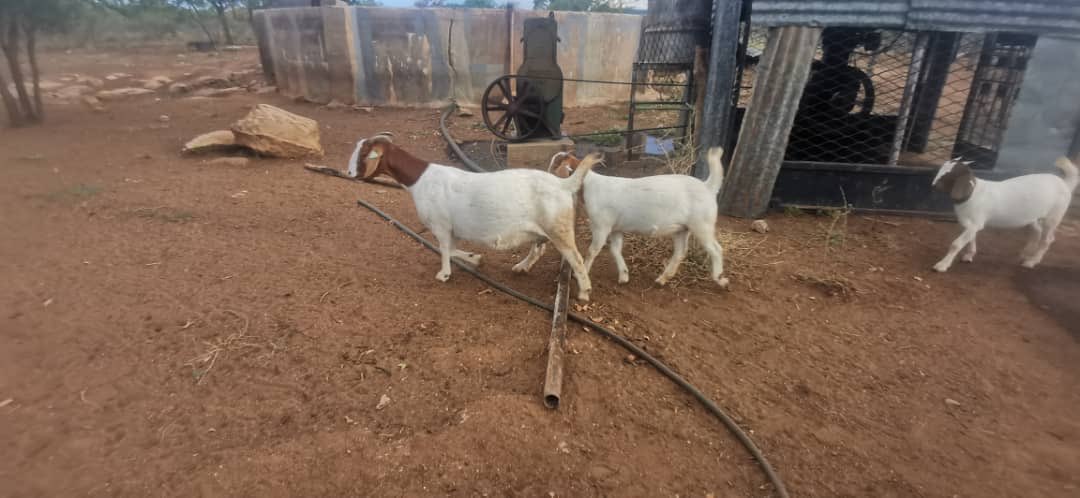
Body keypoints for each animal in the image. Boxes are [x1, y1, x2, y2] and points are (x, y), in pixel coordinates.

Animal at [346, 134, 601, 301]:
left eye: (363, 154)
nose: (349, 173)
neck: (420, 179)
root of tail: (564, 183)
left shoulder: (441, 226)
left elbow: (444, 250)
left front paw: (444, 274)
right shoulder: (452, 229)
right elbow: (452, 249)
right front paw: (475, 258)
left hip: (559, 228)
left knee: (576, 258)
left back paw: (584, 292)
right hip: (544, 228)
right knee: (539, 248)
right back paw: (522, 267)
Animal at [548, 147, 729, 288]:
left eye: (555, 165)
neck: (589, 186)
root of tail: (707, 186)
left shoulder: (601, 226)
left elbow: (593, 250)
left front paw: (580, 274)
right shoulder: (616, 228)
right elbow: (615, 249)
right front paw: (624, 276)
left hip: (702, 224)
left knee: (716, 249)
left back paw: (720, 279)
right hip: (682, 229)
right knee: (680, 252)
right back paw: (662, 279)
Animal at [931, 156, 1079, 272]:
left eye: (949, 174)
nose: (933, 185)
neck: (973, 193)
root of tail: (1065, 184)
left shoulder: (975, 223)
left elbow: (956, 244)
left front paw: (942, 265)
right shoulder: (971, 224)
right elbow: (971, 239)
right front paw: (969, 256)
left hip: (1054, 216)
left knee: (1047, 239)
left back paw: (1031, 262)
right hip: (1032, 217)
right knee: (1037, 231)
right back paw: (1026, 254)